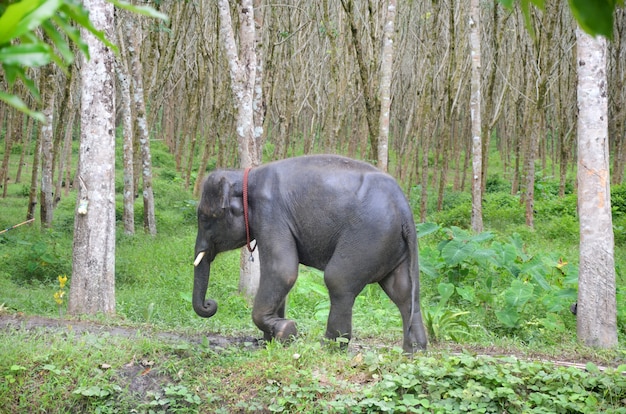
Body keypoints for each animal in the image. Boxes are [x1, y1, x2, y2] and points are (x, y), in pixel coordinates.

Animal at [193, 154, 426, 354]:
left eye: (204, 217)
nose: (209, 304)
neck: (245, 177)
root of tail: (404, 209)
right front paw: (271, 342)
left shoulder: (270, 213)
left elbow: (282, 271)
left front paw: (286, 331)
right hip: (393, 245)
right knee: (403, 292)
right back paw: (413, 352)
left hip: (368, 236)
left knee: (338, 280)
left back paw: (329, 347)